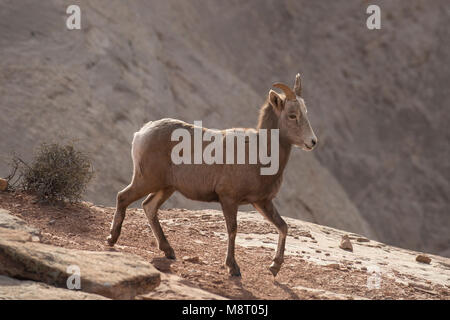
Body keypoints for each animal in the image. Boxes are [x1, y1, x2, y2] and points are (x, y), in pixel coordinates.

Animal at [106, 74, 318, 276]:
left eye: (306, 113)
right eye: (292, 115)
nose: (312, 142)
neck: (259, 154)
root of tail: (141, 133)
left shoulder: (262, 202)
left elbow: (283, 226)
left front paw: (274, 267)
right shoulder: (229, 199)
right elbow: (232, 230)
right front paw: (233, 268)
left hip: (166, 188)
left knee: (149, 207)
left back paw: (169, 251)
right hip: (146, 180)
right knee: (123, 197)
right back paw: (111, 239)